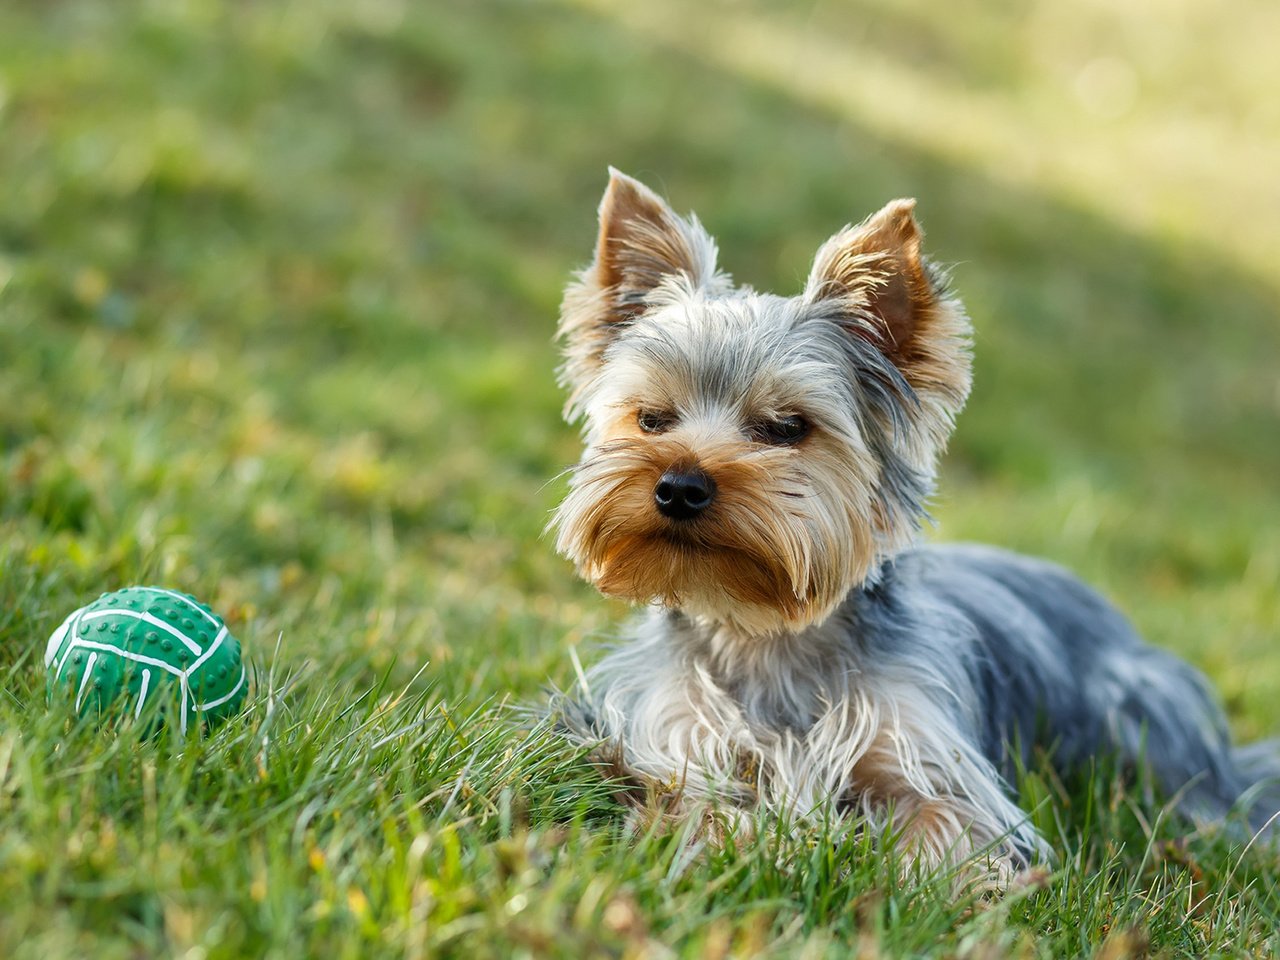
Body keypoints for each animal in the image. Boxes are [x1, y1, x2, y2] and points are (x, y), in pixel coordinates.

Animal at [545, 171, 1274, 880]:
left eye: (786, 427)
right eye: (652, 419)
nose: (679, 486)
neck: (762, 631)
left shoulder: (932, 757)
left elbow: (942, 825)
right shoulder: (669, 732)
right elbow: (688, 802)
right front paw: (755, 843)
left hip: (1139, 713)